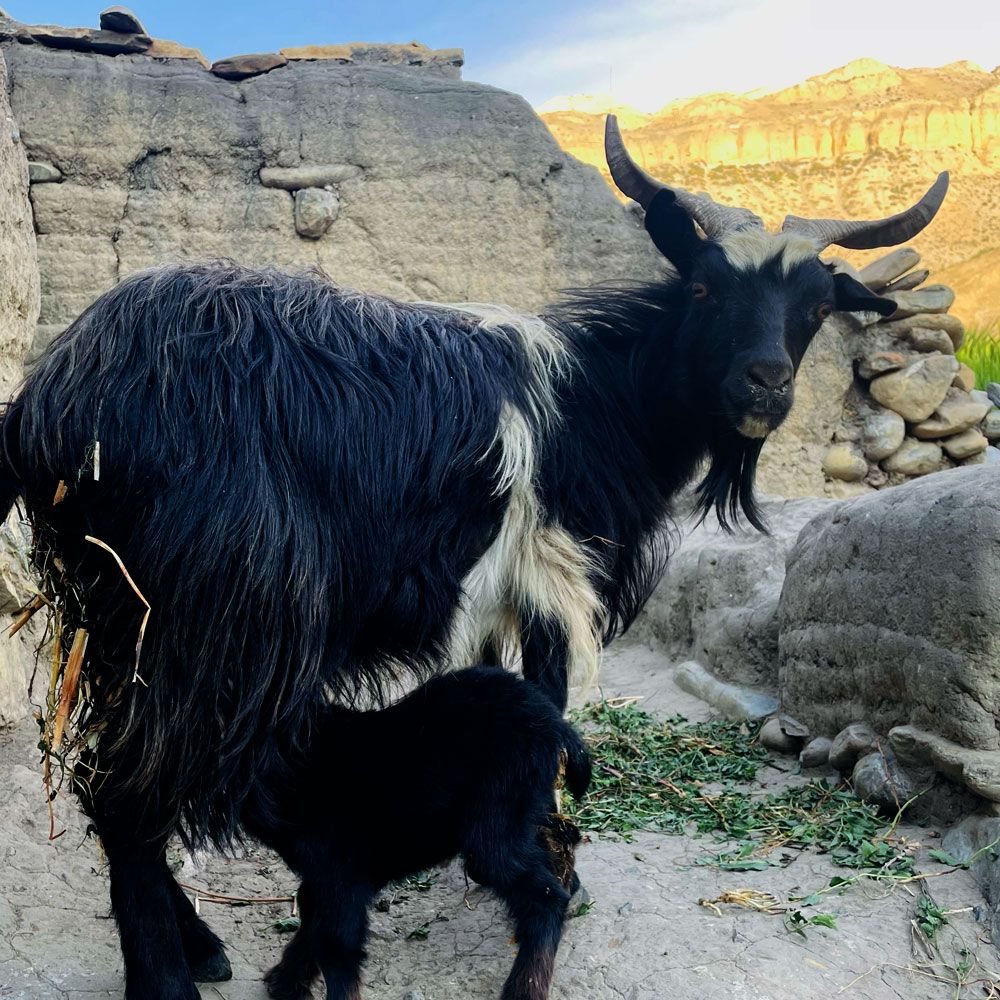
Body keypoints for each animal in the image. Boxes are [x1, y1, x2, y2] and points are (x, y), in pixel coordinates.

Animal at [245, 665, 591, 1000]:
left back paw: (525, 988)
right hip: (524, 811)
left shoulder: (340, 875)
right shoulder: (327, 875)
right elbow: (312, 914)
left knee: (544, 897)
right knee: (560, 842)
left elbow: (336, 947)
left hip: (496, 827)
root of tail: (554, 721)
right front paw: (287, 979)